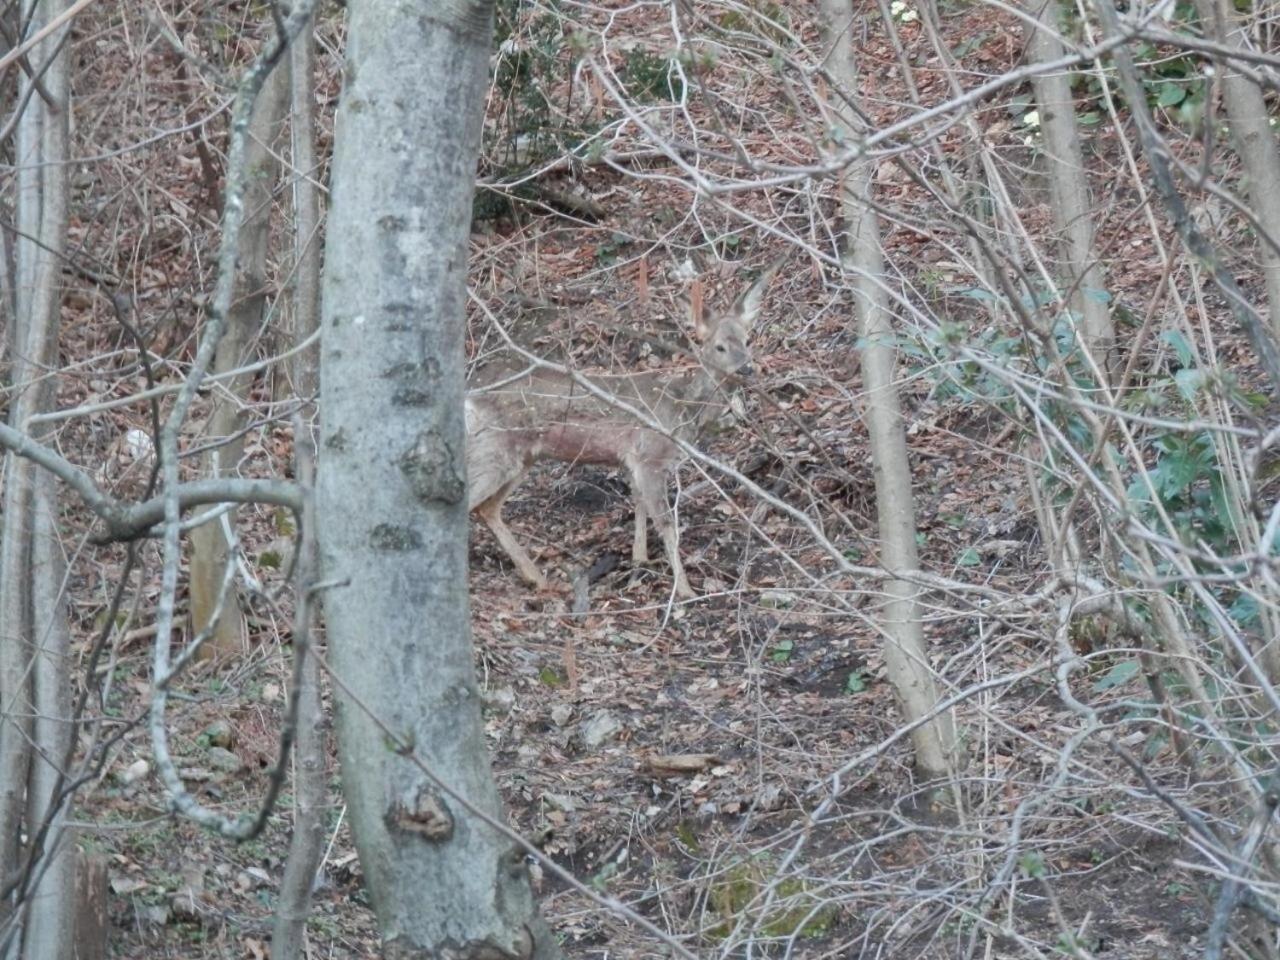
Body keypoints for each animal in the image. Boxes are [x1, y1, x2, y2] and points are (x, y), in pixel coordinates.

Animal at [460, 259, 778, 599]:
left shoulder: (632, 461)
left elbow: (638, 504)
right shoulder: (651, 455)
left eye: (747, 341)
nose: (747, 369)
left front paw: (641, 559)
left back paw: (538, 579)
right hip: (495, 448)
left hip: (523, 456)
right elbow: (666, 524)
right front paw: (684, 589)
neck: (684, 410)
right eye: (719, 347)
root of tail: (469, 396)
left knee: (488, 507)